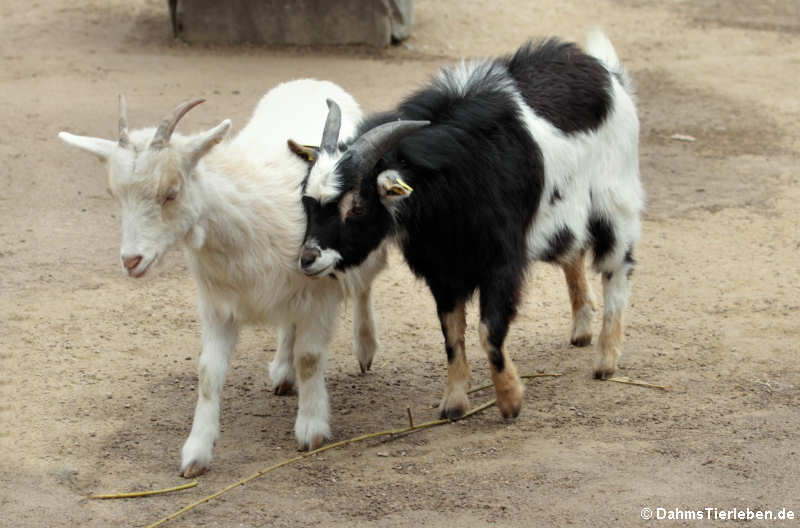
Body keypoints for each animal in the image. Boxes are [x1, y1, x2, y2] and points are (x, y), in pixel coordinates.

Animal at [59, 79, 388, 478]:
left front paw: (311, 428)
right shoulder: (219, 303)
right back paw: (282, 371)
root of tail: (312, 82)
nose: (131, 261)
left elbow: (310, 358)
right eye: (114, 194)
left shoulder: (318, 290)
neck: (239, 217)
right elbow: (208, 374)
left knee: (364, 288)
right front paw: (196, 452)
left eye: (171, 193)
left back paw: (364, 346)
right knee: (287, 325)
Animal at [292, 31, 644, 422]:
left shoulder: (501, 262)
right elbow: (451, 334)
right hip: (562, 217)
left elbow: (488, 331)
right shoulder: (443, 269)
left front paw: (510, 401)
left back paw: (606, 361)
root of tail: (605, 71)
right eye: (306, 201)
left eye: (356, 205)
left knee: (617, 267)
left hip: (615, 200)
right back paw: (582, 328)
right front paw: (454, 402)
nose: (308, 259)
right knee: (574, 253)